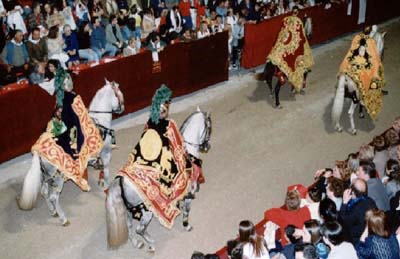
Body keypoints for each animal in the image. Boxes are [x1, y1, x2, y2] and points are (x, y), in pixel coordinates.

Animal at [17, 80, 124, 226]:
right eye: (119, 94)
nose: (122, 108)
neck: (99, 122)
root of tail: (39, 152)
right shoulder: (106, 154)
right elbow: (107, 172)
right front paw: (106, 187)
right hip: (58, 179)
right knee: (53, 196)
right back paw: (63, 219)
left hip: (46, 177)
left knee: (44, 192)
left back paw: (53, 212)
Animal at [106, 107, 211, 252]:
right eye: (209, 127)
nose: (207, 146)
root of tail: (121, 181)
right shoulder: (190, 192)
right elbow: (187, 210)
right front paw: (187, 225)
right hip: (146, 212)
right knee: (140, 229)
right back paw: (151, 243)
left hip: (128, 211)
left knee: (129, 227)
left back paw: (137, 243)